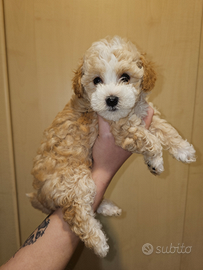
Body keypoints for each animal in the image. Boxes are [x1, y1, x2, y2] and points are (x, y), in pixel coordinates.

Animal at [27, 36, 196, 258]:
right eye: (96, 80)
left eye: (125, 77)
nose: (111, 99)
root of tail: (37, 194)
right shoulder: (123, 128)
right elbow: (151, 140)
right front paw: (157, 159)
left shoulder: (145, 114)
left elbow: (165, 129)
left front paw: (182, 150)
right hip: (74, 178)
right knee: (75, 211)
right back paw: (98, 242)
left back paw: (107, 207)